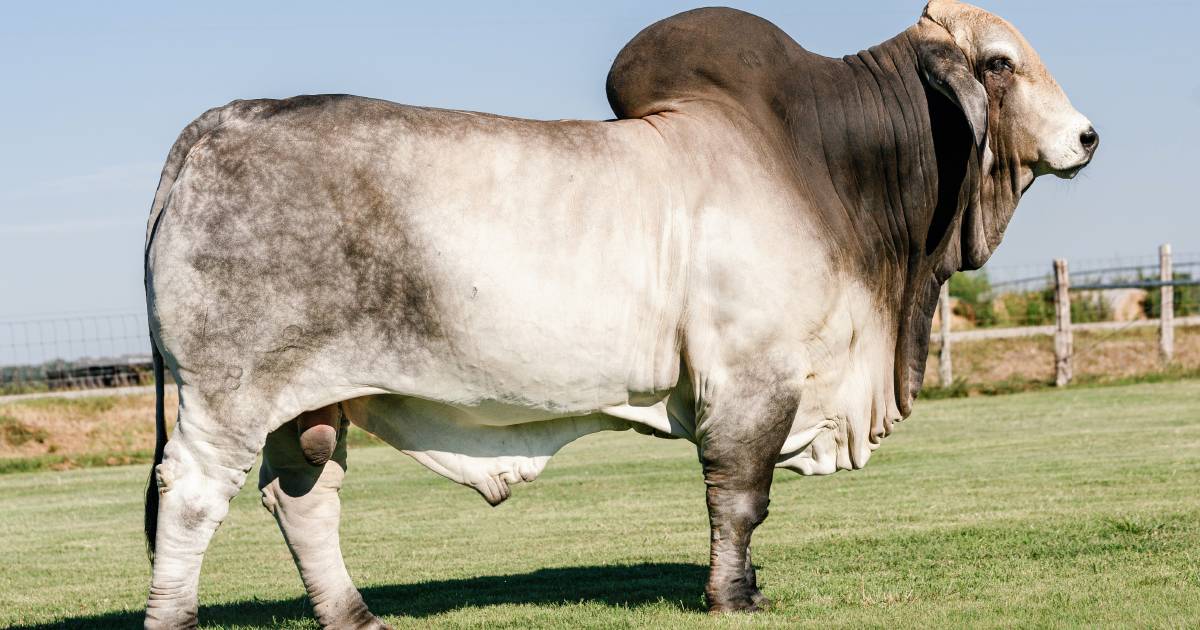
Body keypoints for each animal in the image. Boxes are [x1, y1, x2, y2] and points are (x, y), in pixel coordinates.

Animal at [140, 2, 1099, 624]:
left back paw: (352, 614)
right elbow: (739, 499)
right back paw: (176, 616)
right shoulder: (752, 381)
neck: (825, 167)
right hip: (226, 397)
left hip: (307, 406)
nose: (1087, 136)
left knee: (303, 499)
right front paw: (733, 598)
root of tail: (216, 127)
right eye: (1000, 62)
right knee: (191, 500)